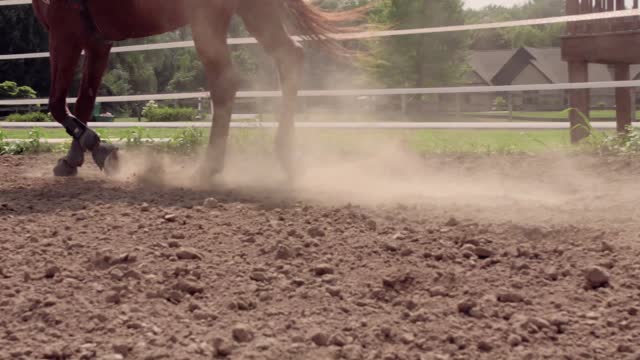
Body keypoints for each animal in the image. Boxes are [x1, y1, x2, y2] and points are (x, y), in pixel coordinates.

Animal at [32, 0, 362, 177]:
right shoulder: (97, 42)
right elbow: (84, 102)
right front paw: (72, 160)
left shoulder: (65, 34)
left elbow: (57, 104)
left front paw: (100, 149)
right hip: (255, 12)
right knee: (289, 57)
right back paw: (287, 155)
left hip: (209, 21)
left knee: (226, 81)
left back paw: (208, 168)